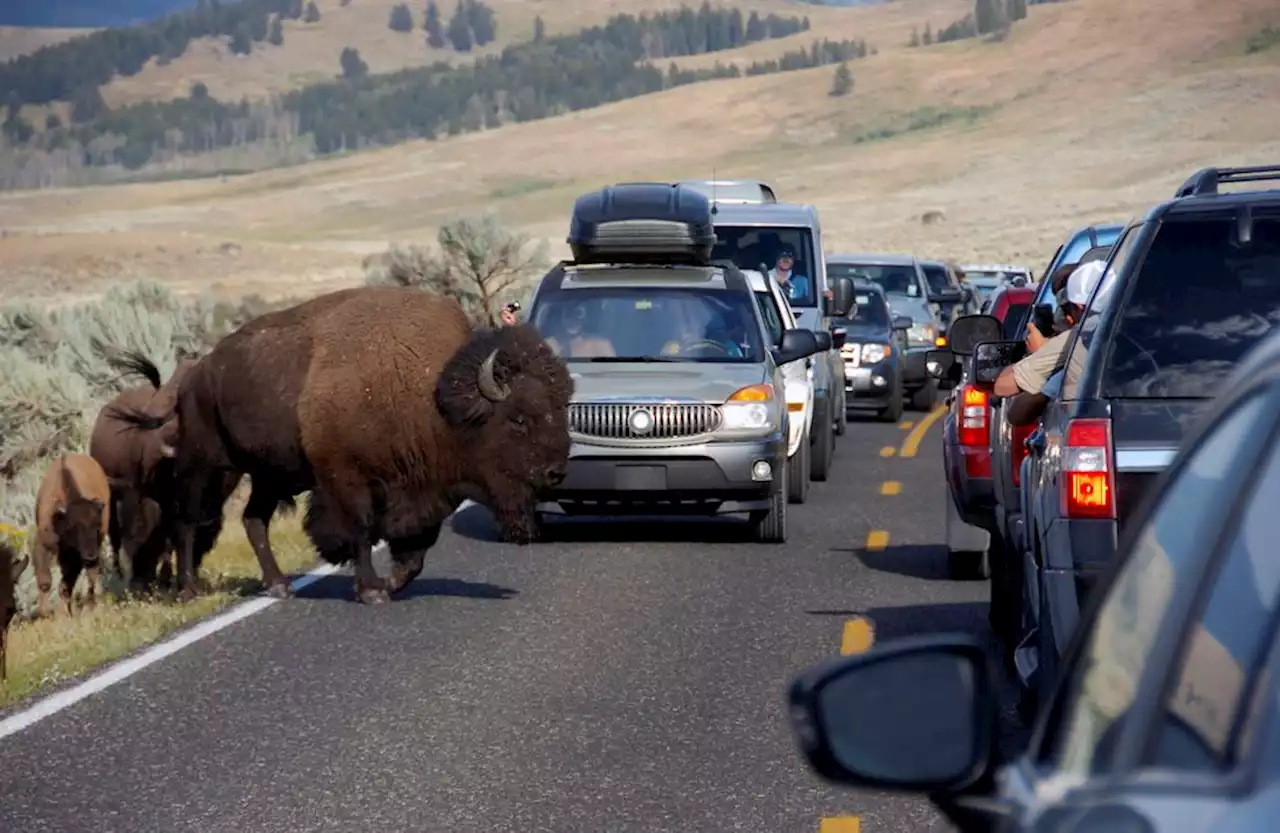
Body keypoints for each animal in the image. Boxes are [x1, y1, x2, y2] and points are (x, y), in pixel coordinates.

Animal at [33, 452, 111, 616]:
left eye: (97, 525)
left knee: (91, 576)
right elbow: (45, 582)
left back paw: (90, 606)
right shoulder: (42, 545)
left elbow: (65, 585)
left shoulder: (75, 556)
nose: (91, 554)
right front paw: (46, 612)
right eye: (74, 527)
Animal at [112, 286, 573, 606]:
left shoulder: (422, 492)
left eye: (561, 408)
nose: (556, 472)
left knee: (253, 519)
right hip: (211, 466)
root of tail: (194, 374)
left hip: (268, 475)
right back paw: (188, 590)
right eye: (518, 418)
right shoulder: (347, 480)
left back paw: (279, 585)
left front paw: (390, 583)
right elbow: (362, 532)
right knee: (188, 520)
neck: (432, 396)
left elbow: (415, 552)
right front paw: (371, 590)